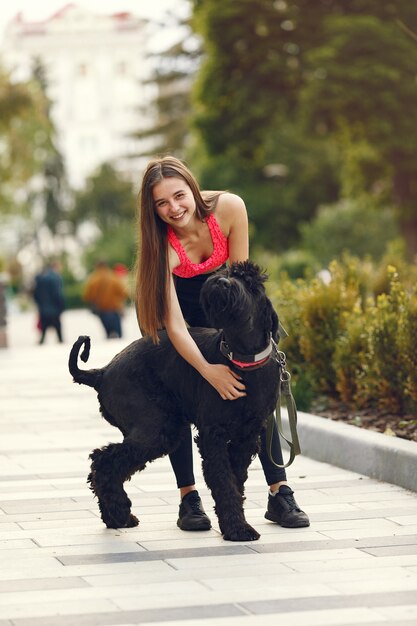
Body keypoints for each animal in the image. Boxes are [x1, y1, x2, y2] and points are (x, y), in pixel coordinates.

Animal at [69, 260, 280, 540]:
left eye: (252, 284)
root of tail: (102, 372)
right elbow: (223, 481)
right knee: (105, 461)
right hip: (155, 429)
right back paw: (120, 514)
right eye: (226, 273)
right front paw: (238, 528)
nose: (222, 282)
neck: (241, 359)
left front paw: (236, 525)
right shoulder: (212, 434)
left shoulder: (247, 436)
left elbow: (235, 480)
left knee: (110, 463)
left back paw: (117, 517)